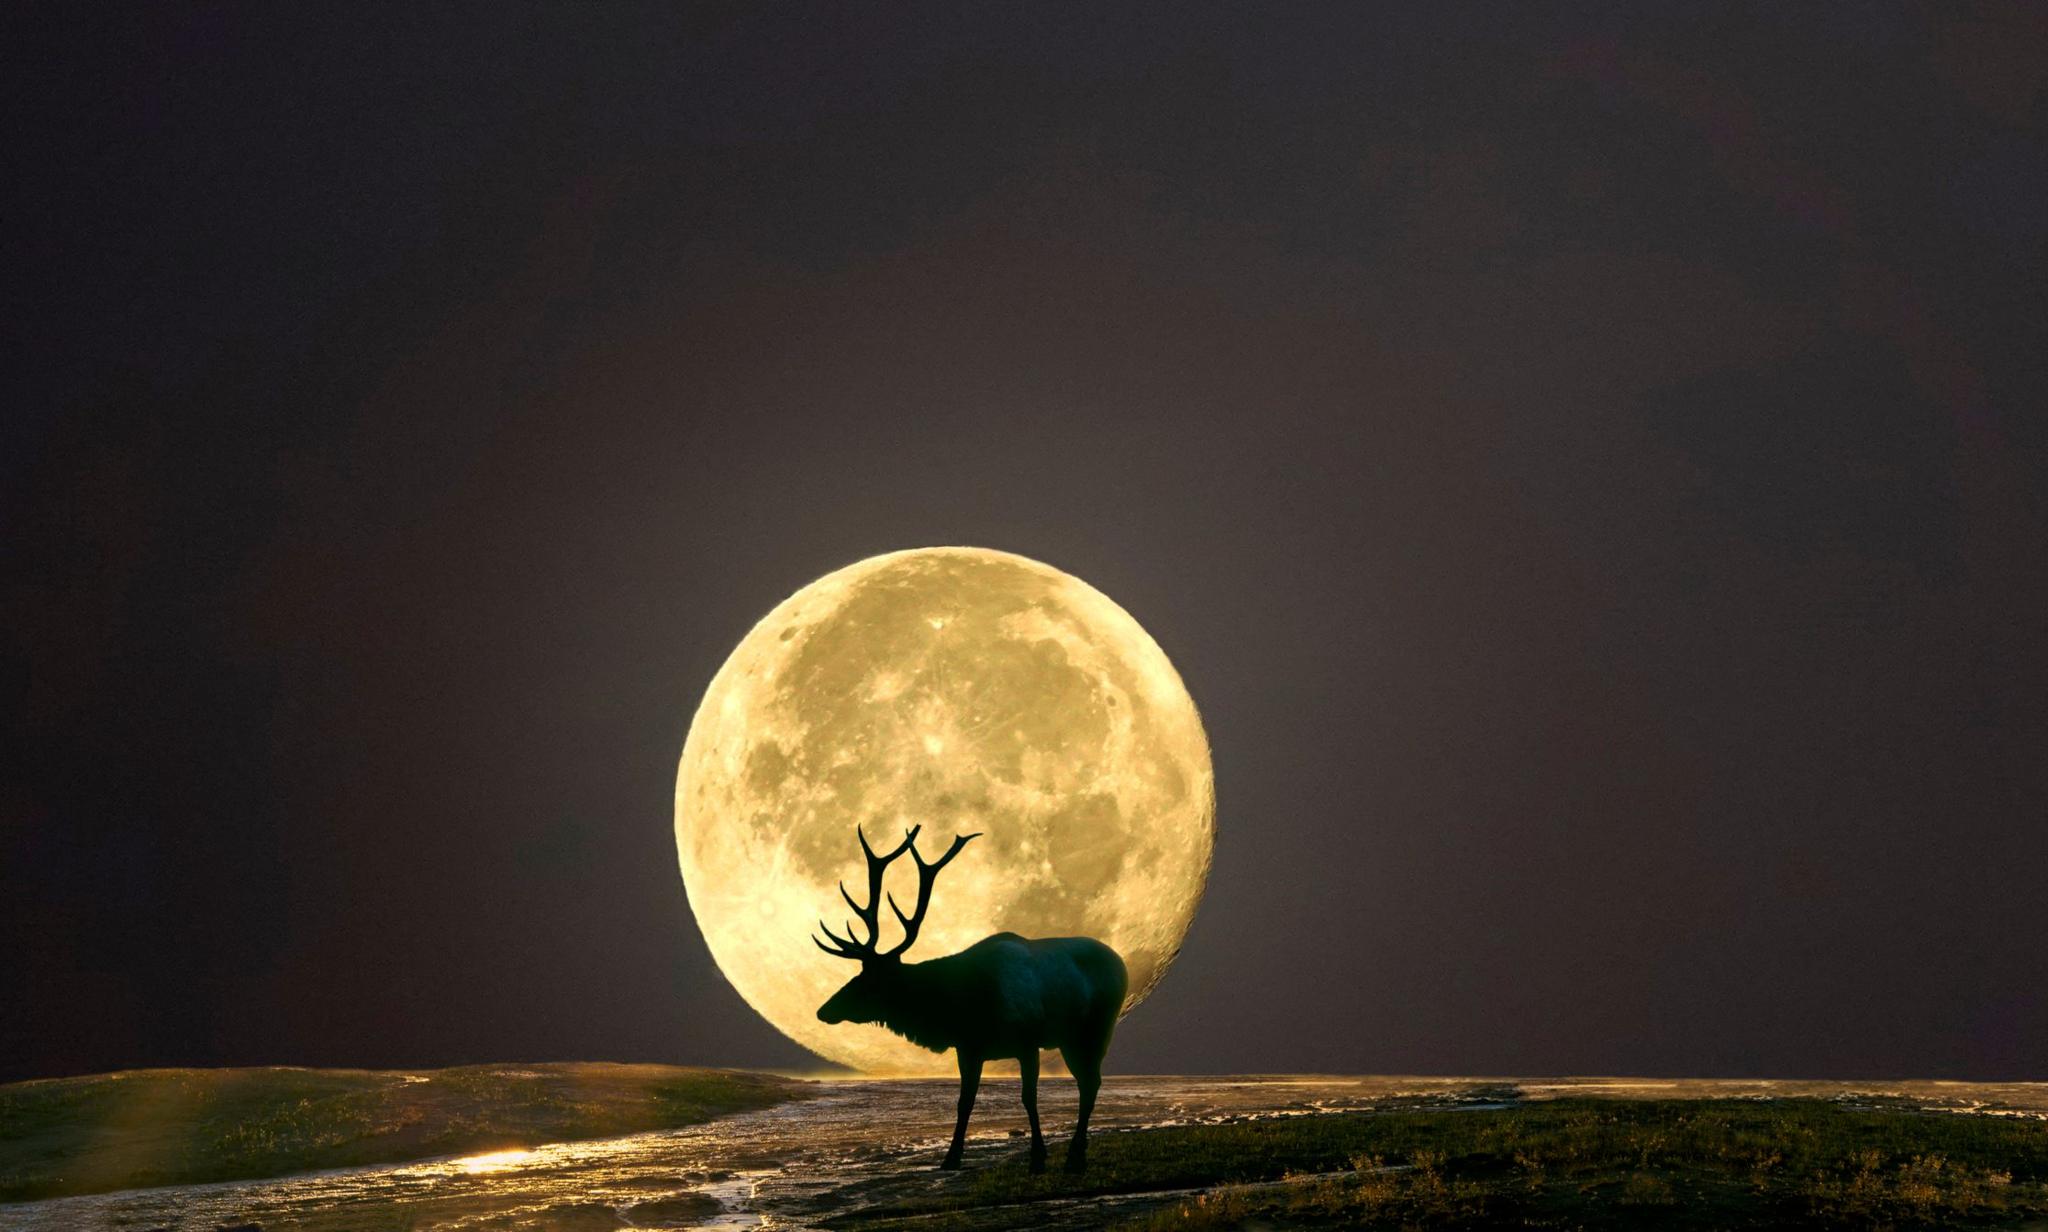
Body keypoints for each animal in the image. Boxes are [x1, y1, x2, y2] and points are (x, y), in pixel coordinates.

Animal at [814, 824, 1128, 1173]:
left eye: (867, 981)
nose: (823, 1010)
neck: (963, 1005)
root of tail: (1121, 963)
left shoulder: (1027, 1041)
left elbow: (1028, 1097)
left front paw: (1037, 1155)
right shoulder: (969, 1048)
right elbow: (964, 1102)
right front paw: (951, 1157)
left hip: (1097, 1029)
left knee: (1091, 1082)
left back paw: (1075, 1154)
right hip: (1070, 1039)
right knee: (1089, 1082)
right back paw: (1077, 1152)